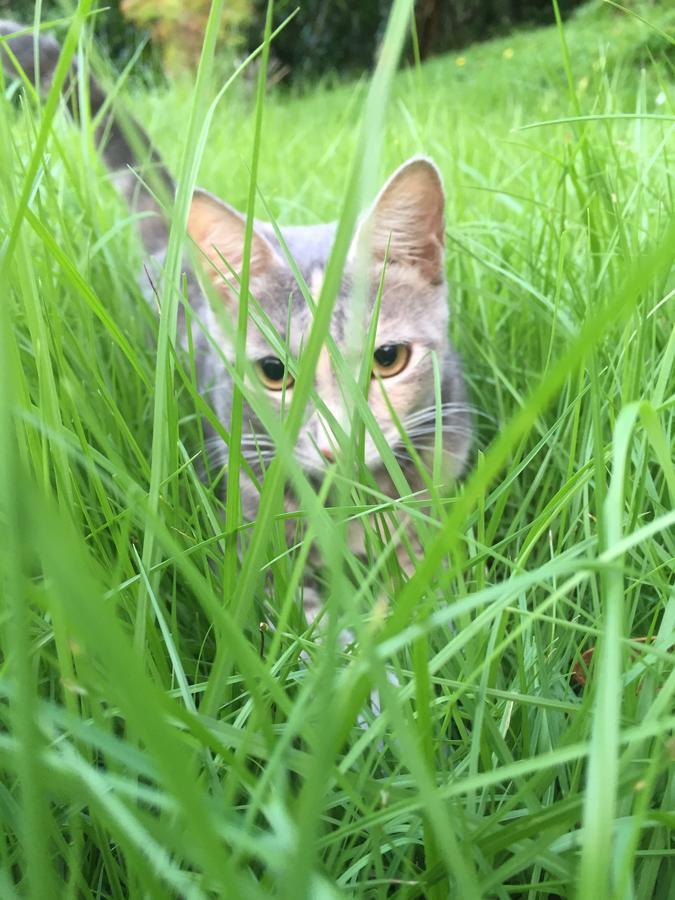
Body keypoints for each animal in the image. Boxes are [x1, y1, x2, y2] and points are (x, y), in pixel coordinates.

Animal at [1, 22, 476, 624]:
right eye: (273, 373)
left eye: (388, 359)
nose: (335, 448)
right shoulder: (248, 520)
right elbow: (291, 610)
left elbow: (428, 564)